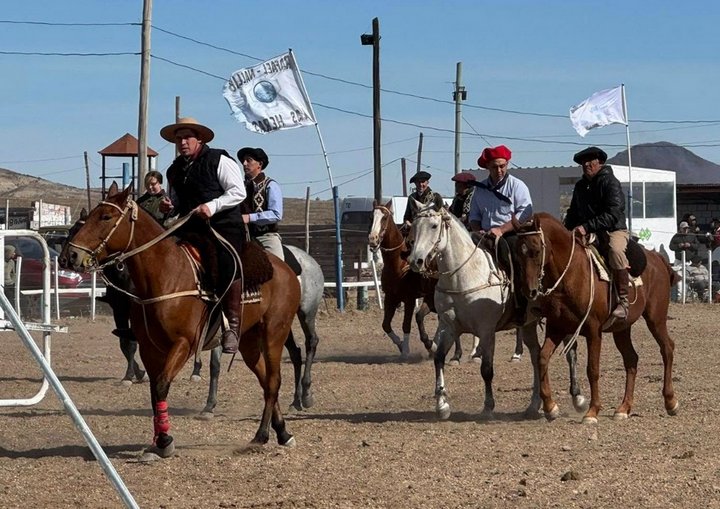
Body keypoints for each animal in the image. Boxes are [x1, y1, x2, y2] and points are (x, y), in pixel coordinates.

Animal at [62, 184, 298, 456]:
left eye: (105, 217)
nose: (71, 256)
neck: (166, 274)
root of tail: (288, 270)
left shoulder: (184, 344)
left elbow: (162, 384)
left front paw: (165, 440)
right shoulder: (149, 348)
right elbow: (154, 391)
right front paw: (157, 440)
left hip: (274, 334)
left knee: (274, 381)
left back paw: (261, 435)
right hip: (249, 341)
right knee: (265, 380)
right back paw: (282, 432)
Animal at [366, 201, 478, 362]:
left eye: (385, 217)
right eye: (371, 217)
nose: (373, 239)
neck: (398, 263)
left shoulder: (410, 299)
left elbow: (407, 324)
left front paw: (407, 351)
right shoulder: (390, 298)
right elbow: (386, 325)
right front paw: (402, 345)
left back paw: (465, 353)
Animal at [516, 212, 676, 422]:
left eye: (535, 250)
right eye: (518, 251)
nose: (530, 291)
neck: (572, 274)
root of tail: (657, 257)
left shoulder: (593, 330)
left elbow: (592, 369)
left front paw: (592, 411)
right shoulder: (556, 328)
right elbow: (542, 358)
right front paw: (551, 407)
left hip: (655, 319)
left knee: (667, 348)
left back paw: (670, 402)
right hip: (622, 329)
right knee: (631, 359)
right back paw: (623, 408)